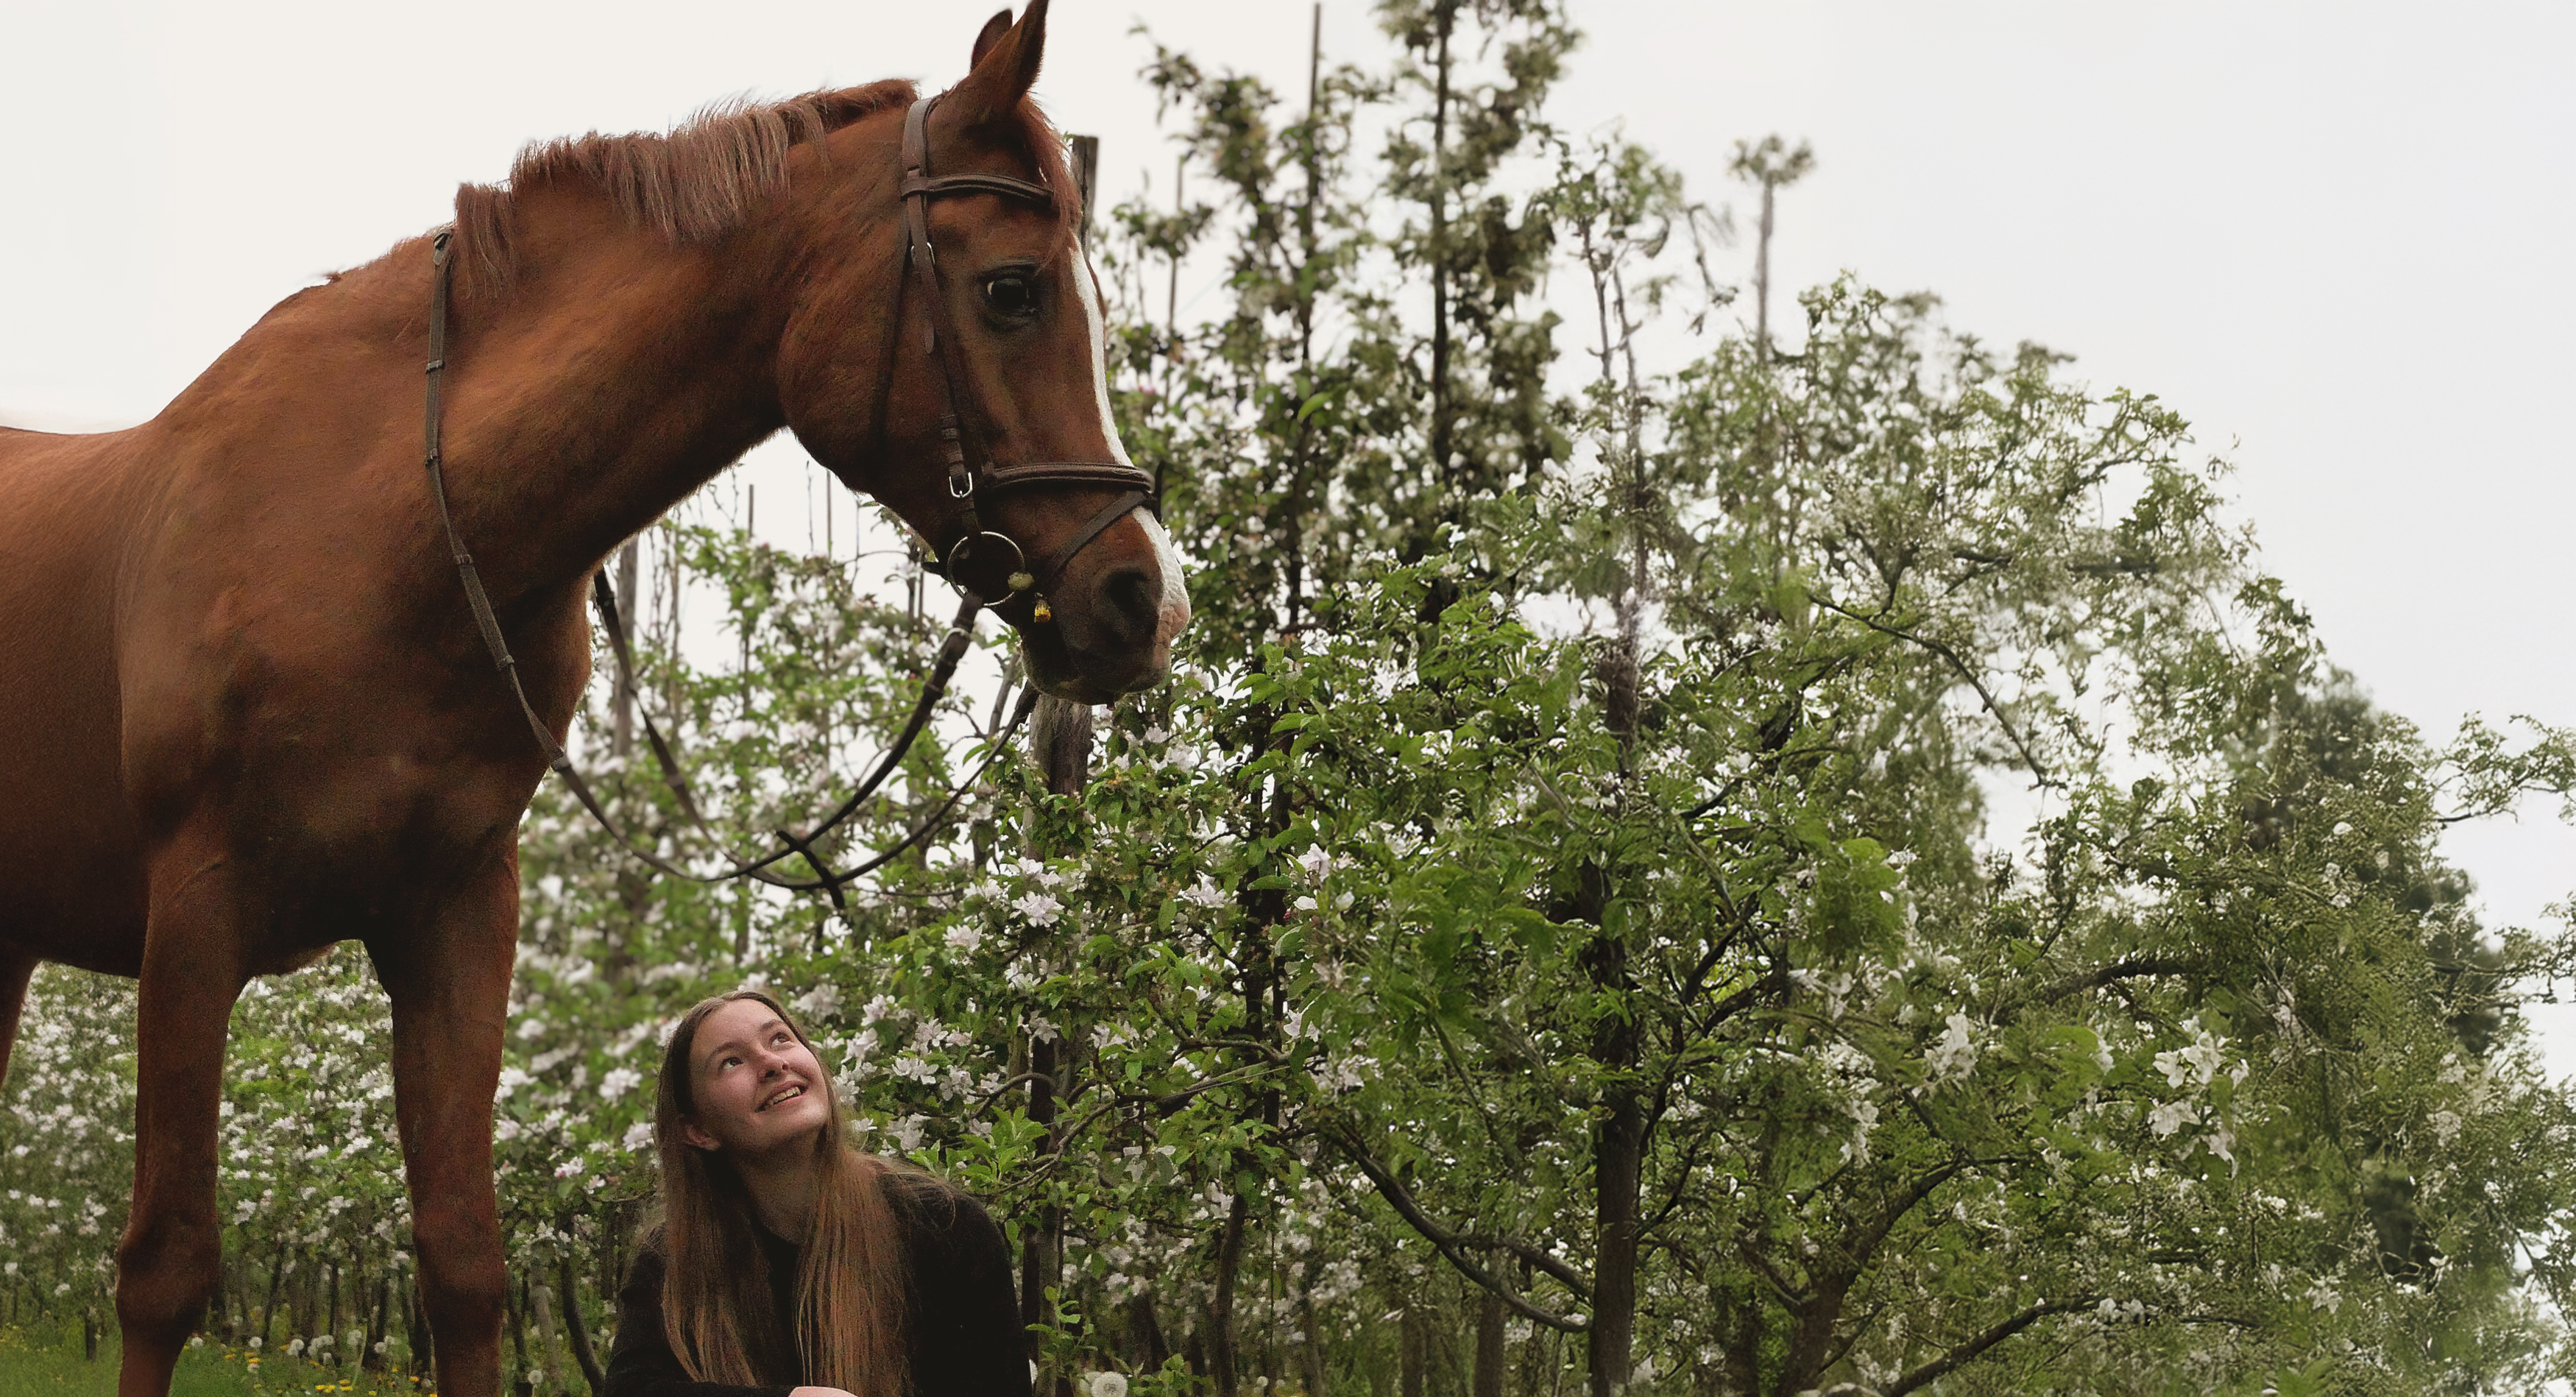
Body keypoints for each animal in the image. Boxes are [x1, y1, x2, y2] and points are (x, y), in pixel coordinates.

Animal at [0, 3, 1186, 1394]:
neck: (380, 525)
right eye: (1011, 288)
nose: (1141, 600)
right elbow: (166, 1265)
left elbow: (464, 1261)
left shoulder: (457, 916)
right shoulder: (194, 920)